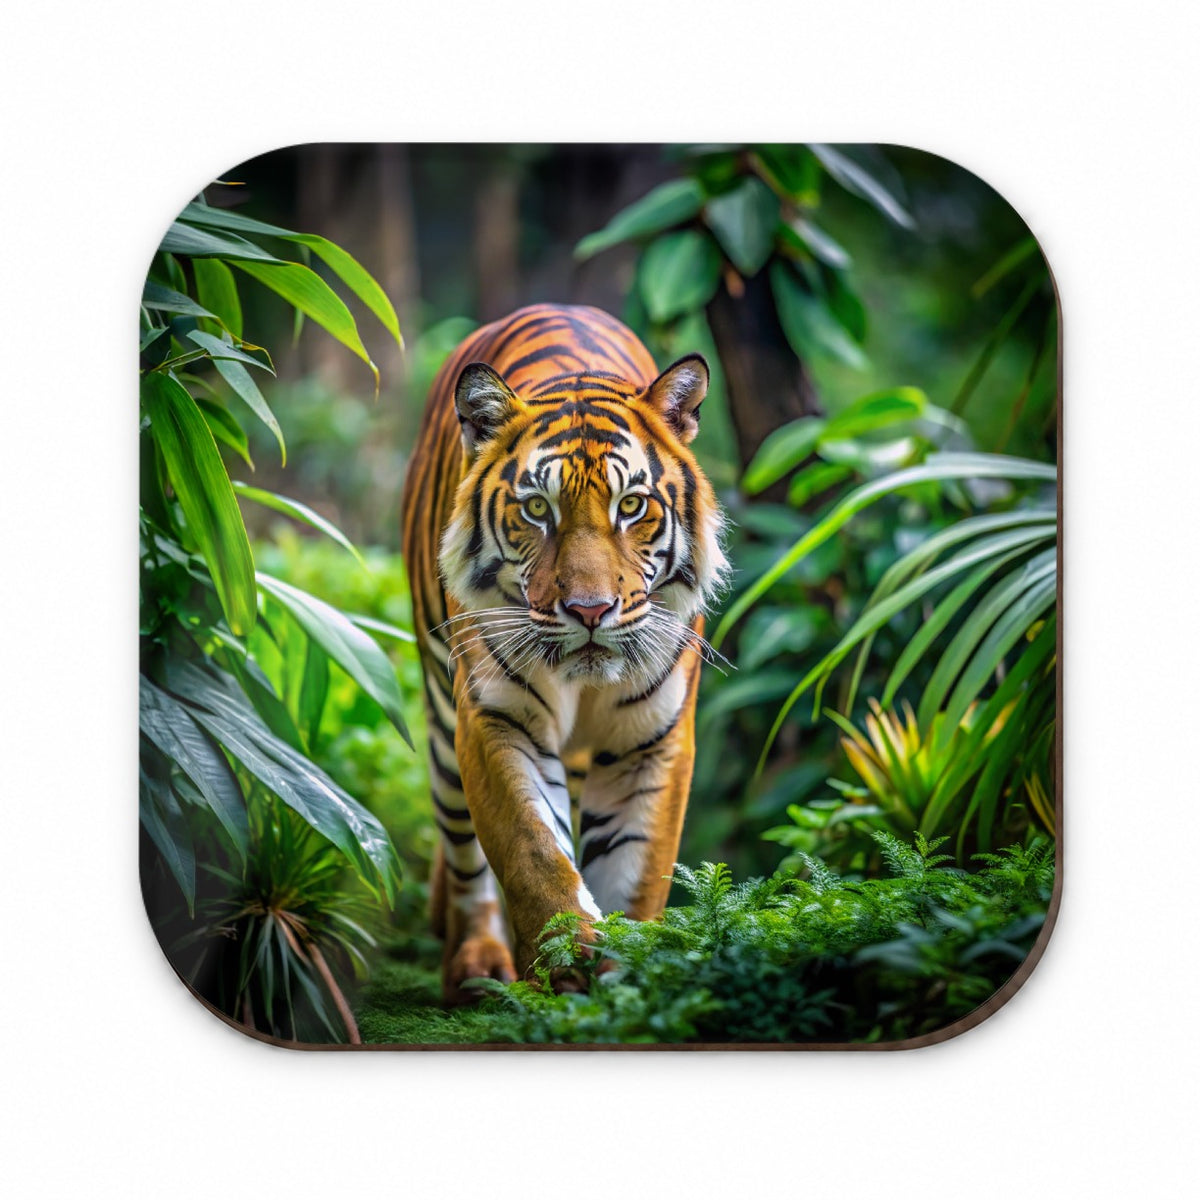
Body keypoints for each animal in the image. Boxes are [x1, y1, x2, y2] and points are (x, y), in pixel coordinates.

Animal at [401, 303, 728, 1004]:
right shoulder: (497, 718)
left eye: (631, 505)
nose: (589, 610)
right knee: (465, 855)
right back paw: (476, 963)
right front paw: (567, 962)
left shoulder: (650, 740)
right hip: (442, 722)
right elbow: (533, 849)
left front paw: (626, 975)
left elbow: (635, 870)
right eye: (535, 509)